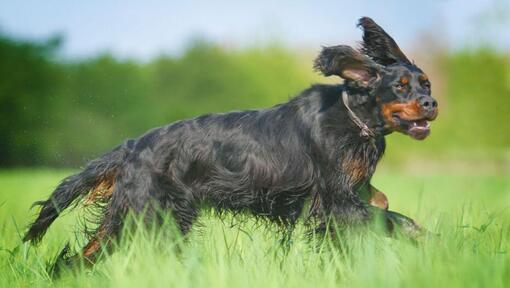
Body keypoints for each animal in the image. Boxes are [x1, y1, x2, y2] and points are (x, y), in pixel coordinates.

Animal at [22, 17, 438, 266]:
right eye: (401, 86)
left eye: (426, 83)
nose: (432, 104)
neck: (353, 119)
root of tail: (132, 147)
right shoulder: (335, 201)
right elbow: (391, 217)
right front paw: (426, 238)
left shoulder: (346, 194)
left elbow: (381, 202)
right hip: (152, 215)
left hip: (135, 215)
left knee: (84, 254)